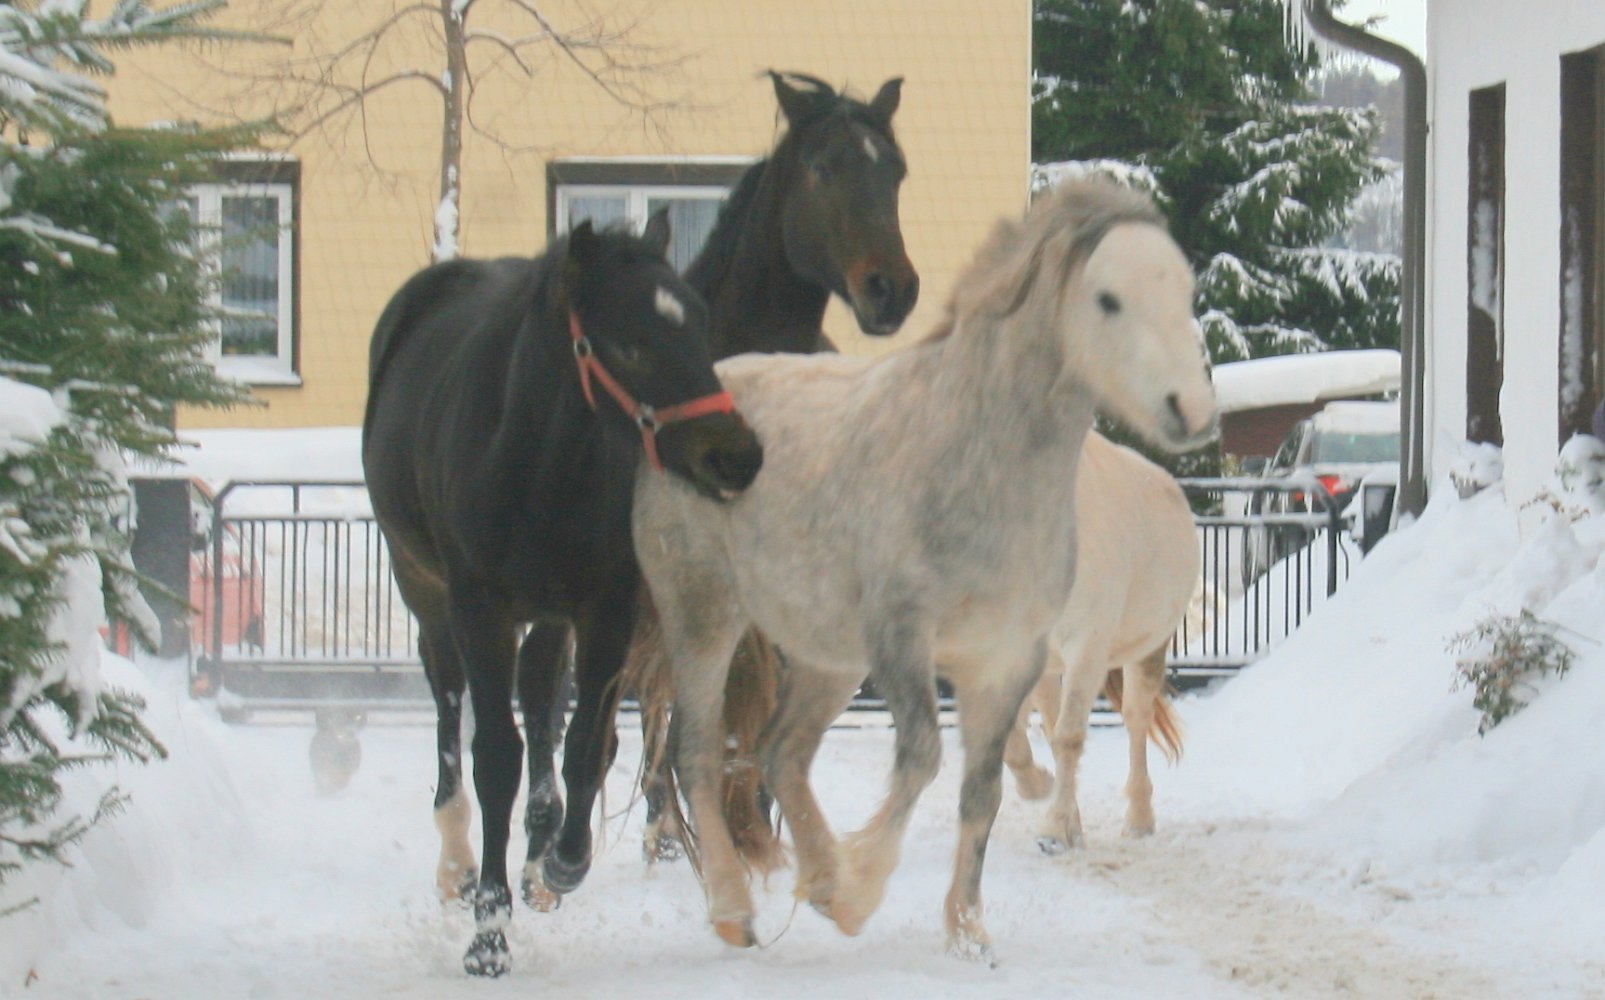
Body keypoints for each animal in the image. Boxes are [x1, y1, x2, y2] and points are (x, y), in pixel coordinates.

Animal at [362, 212, 763, 977]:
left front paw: (561, 862)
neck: (538, 465)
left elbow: (583, 745)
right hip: (423, 588)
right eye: (631, 342)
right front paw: (489, 935)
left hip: (547, 617)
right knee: (448, 702)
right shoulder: (479, 609)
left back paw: (538, 854)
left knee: (543, 698)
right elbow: (495, 756)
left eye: (698, 326)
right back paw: (457, 863)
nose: (738, 455)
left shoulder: (603, 607)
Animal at [1000, 432, 1193, 851]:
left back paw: (1139, 820)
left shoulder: (1087, 647)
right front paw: (1044, 795)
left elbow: (1070, 737)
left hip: (1147, 649)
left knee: (1135, 720)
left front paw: (1055, 830)